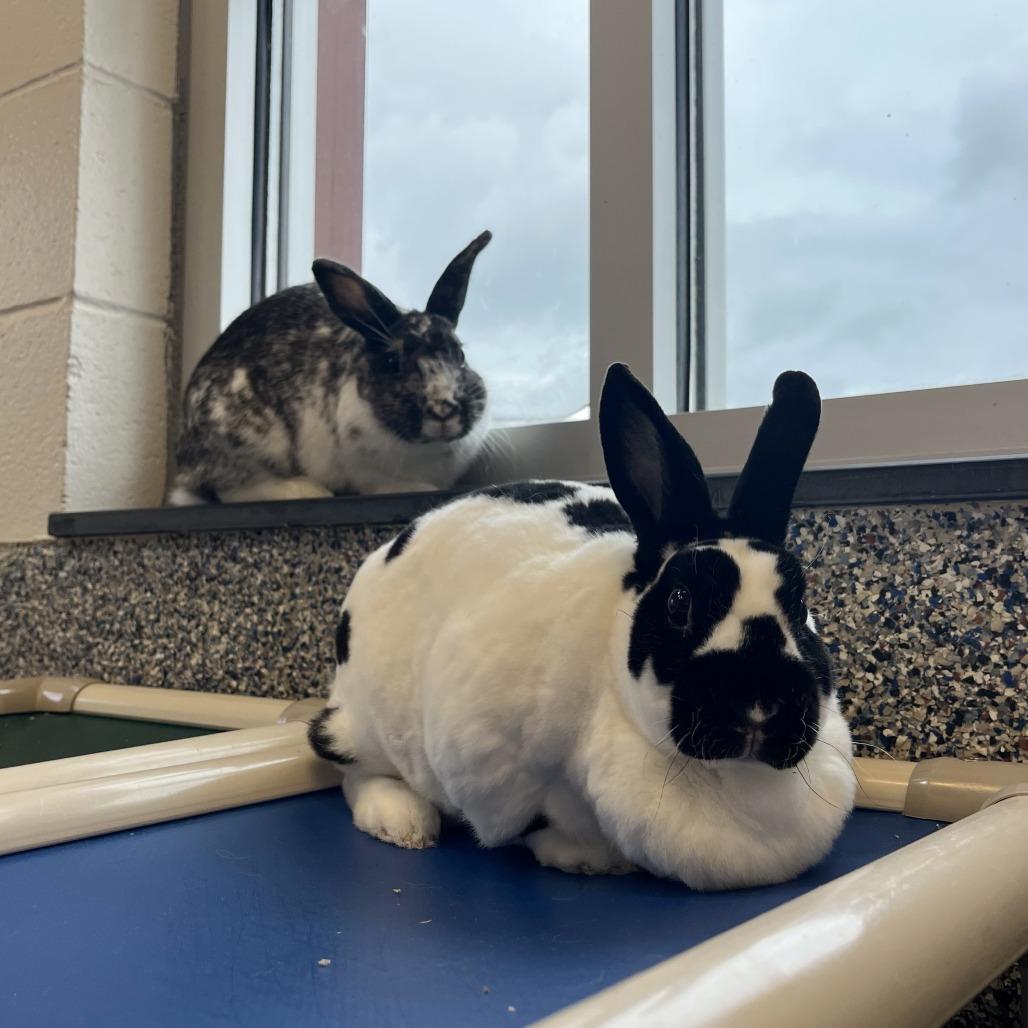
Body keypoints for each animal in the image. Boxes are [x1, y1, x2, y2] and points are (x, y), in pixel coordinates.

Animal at [169, 232, 493, 504]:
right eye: (393, 361)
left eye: (460, 354)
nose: (443, 409)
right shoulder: (368, 470)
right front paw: (422, 489)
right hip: (252, 442)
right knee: (234, 489)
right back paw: (305, 490)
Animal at [307, 363, 856, 890]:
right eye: (679, 603)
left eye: (800, 604)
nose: (761, 704)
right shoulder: (492, 763)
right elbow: (524, 821)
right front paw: (590, 858)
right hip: (368, 723)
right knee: (348, 765)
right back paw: (402, 822)